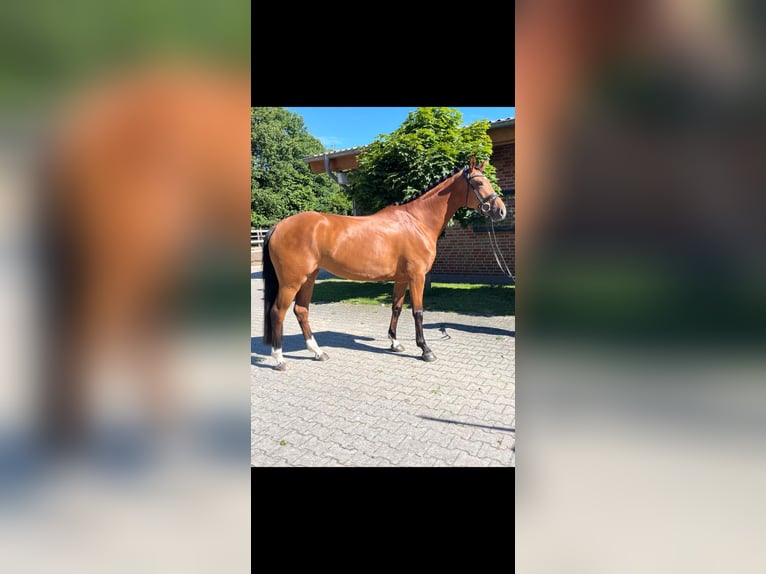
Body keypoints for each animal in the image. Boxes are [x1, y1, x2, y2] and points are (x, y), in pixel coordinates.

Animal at [260, 158, 508, 374]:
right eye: (478, 183)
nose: (501, 211)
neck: (417, 221)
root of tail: (278, 226)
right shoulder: (417, 277)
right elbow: (418, 312)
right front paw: (425, 350)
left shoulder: (401, 278)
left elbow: (396, 308)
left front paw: (395, 343)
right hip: (291, 281)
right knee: (278, 312)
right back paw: (280, 360)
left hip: (308, 278)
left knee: (301, 311)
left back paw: (317, 352)